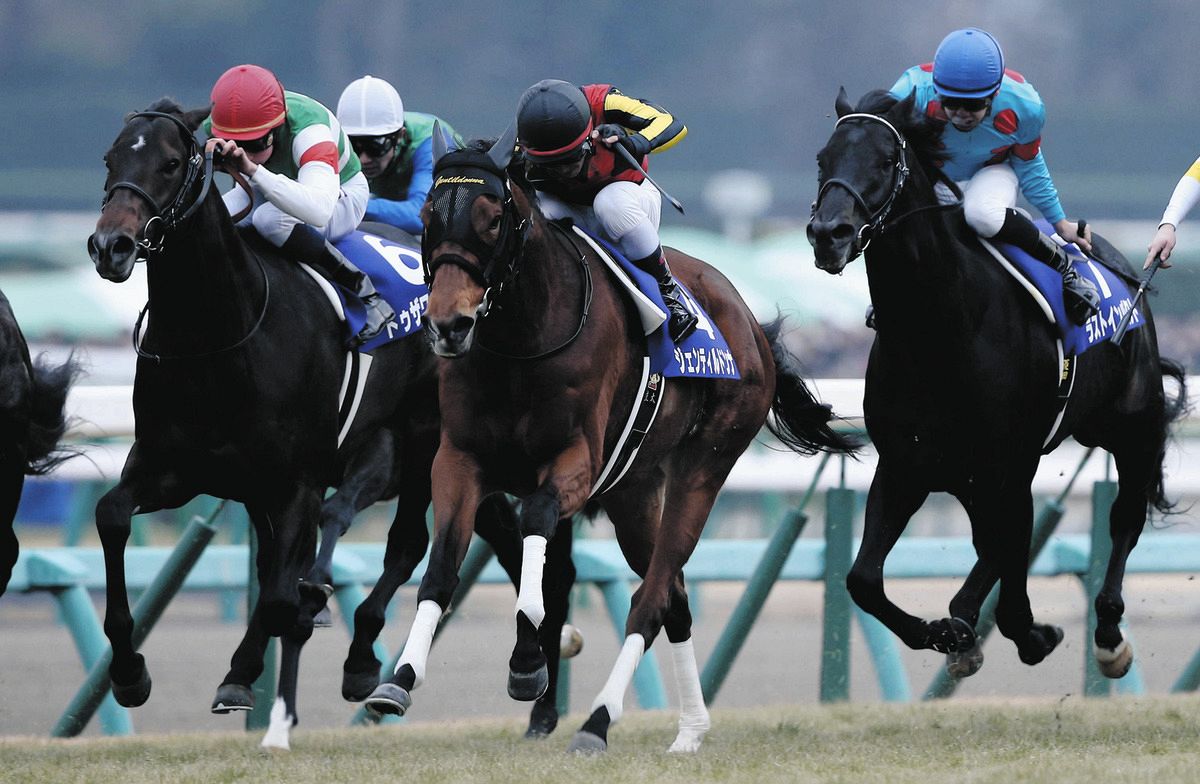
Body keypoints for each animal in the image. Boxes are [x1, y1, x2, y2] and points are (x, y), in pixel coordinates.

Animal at [87, 100, 571, 741]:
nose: (110, 246)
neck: (216, 338)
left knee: (409, 544)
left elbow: (278, 595)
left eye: (170, 162)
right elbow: (113, 515)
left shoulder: (299, 480)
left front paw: (252, 665)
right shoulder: (174, 469)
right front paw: (130, 673)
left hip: (418, 445)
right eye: (110, 158)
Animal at [360, 133, 859, 754]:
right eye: (428, 217)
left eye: (492, 218)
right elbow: (441, 569)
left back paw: (598, 721)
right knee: (676, 600)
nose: (448, 325)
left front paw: (527, 663)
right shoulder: (459, 460)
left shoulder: (576, 462)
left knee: (652, 599)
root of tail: (750, 322)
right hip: (633, 491)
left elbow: (538, 527)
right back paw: (690, 730)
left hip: (703, 467)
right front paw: (398, 681)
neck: (522, 341)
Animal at [807, 88, 1188, 679]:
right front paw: (944, 632)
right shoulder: (906, 464)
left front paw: (1020, 632)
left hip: (1131, 429)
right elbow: (864, 579)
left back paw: (1107, 634)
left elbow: (1011, 553)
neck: (940, 329)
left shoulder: (1009, 463)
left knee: (1123, 516)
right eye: (824, 160)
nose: (829, 235)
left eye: (886, 161)